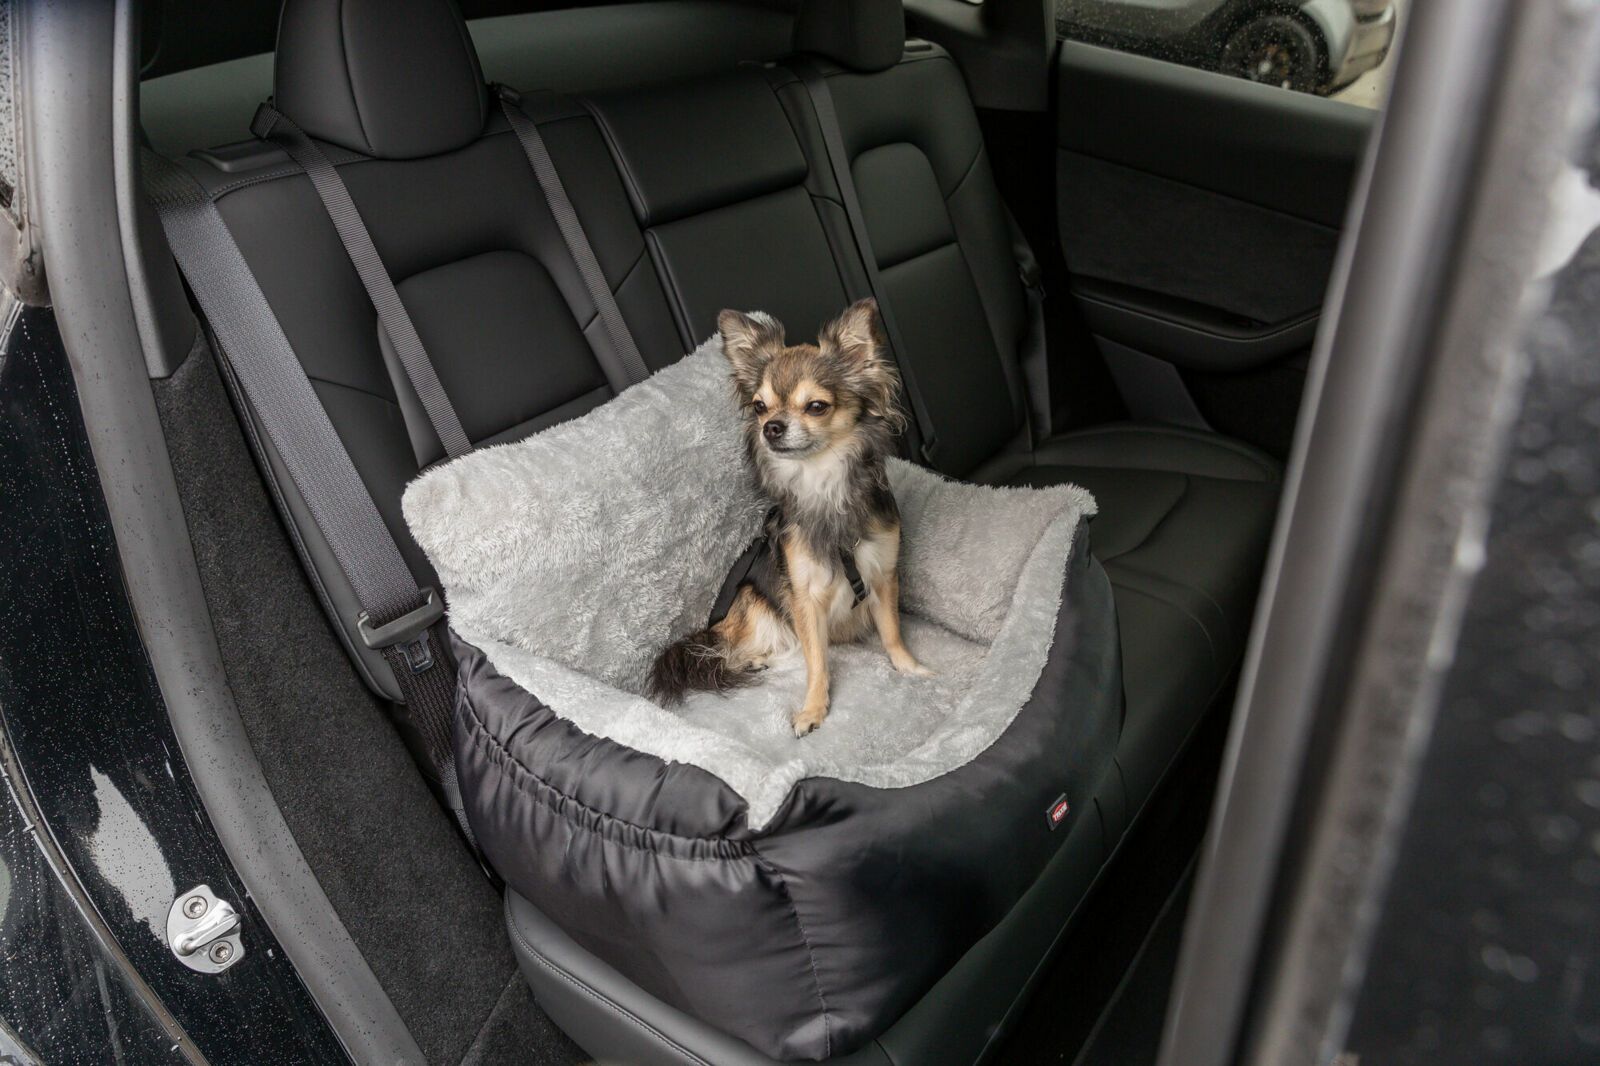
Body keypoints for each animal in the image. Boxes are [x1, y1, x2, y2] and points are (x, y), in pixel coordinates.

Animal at [648, 298, 931, 736]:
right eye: (760, 406)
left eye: (816, 406)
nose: (771, 426)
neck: (822, 481)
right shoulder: (804, 597)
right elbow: (817, 661)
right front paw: (814, 708)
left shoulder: (883, 574)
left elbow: (891, 631)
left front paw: (909, 667)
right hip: (751, 602)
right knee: (731, 650)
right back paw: (751, 658)